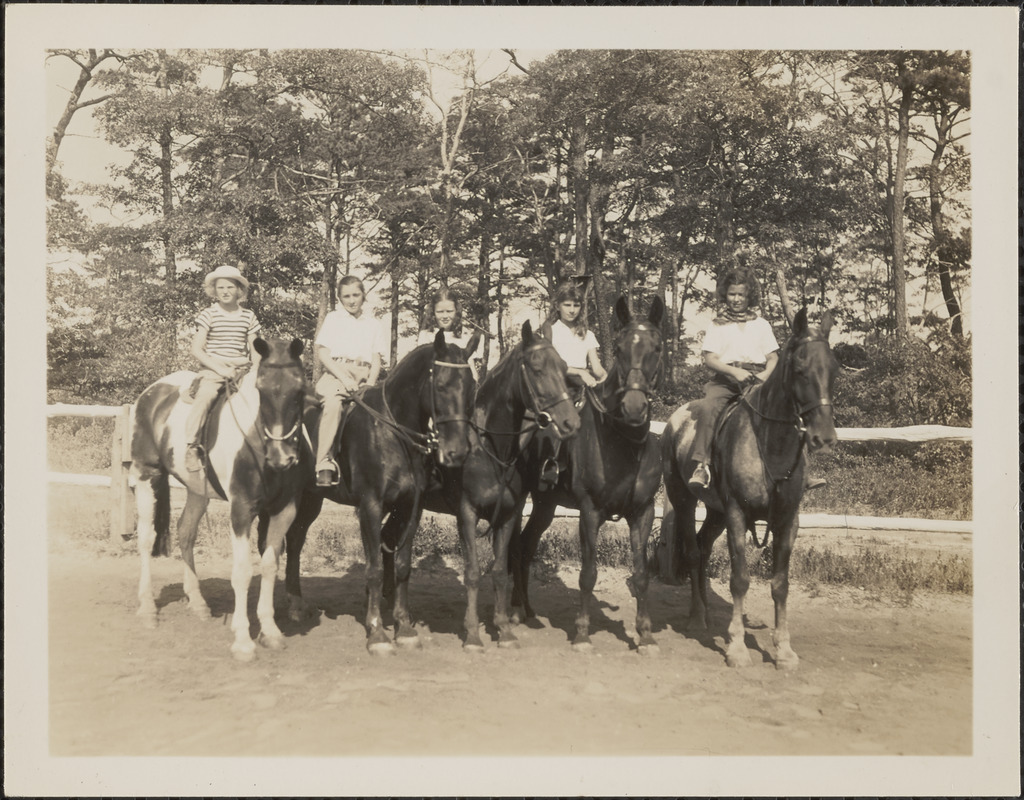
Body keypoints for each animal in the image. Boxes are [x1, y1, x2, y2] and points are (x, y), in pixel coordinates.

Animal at [132, 333, 307, 659]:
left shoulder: (284, 510)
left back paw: (198, 603)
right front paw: (242, 640)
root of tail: (150, 393)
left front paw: (270, 632)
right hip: (146, 474)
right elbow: (242, 571)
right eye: (261, 389)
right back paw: (148, 609)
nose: (282, 457)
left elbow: (269, 566)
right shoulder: (241, 510)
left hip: (196, 490)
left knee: (185, 532)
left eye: (300, 389)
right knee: (147, 539)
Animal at [268, 327, 483, 651]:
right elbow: (375, 568)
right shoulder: (370, 505)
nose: (456, 452)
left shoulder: (410, 507)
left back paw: (296, 606)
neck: (393, 433)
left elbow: (403, 566)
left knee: (294, 542)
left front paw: (404, 628)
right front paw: (377, 633)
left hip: (310, 499)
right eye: (441, 386)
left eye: (471, 387)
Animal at [509, 297, 663, 651]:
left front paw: (646, 635)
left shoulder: (643, 512)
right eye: (619, 348)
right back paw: (515, 611)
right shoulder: (590, 511)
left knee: (525, 544)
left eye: (657, 348)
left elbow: (642, 575)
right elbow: (588, 574)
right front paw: (581, 633)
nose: (634, 408)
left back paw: (526, 609)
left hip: (545, 504)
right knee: (517, 546)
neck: (623, 444)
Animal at [663, 305, 839, 667]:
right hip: (685, 500)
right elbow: (740, 579)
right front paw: (736, 648)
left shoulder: (787, 520)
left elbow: (780, 583)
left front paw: (783, 650)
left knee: (702, 548)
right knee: (692, 552)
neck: (770, 445)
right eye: (799, 370)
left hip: (714, 512)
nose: (824, 438)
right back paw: (697, 617)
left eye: (834, 370)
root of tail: (675, 420)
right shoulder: (736, 514)